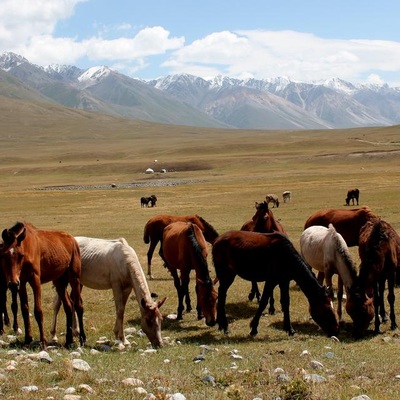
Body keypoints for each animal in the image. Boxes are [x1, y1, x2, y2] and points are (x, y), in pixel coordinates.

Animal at [211, 230, 340, 340]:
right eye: (326, 310)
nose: (336, 330)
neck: (286, 257)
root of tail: (217, 240)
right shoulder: (271, 281)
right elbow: (263, 302)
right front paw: (254, 328)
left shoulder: (284, 282)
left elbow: (286, 302)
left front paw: (289, 329)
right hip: (227, 275)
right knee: (222, 295)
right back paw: (225, 326)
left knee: (222, 295)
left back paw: (221, 325)